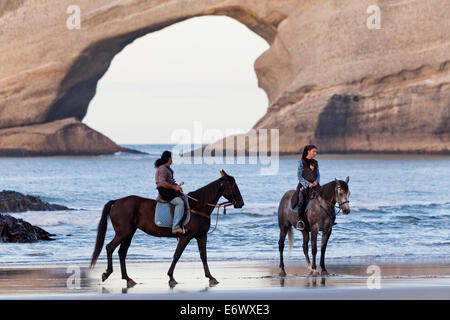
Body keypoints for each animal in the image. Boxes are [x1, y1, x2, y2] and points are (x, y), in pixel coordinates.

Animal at [90, 170, 243, 288]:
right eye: (233, 185)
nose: (241, 203)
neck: (197, 207)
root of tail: (116, 202)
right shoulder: (186, 237)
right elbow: (177, 255)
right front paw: (171, 277)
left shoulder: (201, 236)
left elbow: (203, 256)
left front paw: (210, 277)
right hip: (123, 233)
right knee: (110, 247)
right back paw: (107, 273)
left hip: (129, 233)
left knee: (122, 252)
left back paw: (128, 278)